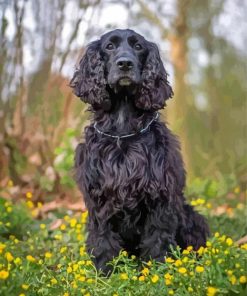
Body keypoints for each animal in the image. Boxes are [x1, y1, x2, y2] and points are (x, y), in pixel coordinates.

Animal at [70, 28, 208, 274]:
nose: (125, 63)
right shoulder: (99, 197)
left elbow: (158, 237)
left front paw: (159, 270)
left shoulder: (160, 196)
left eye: (138, 47)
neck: (122, 127)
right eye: (109, 46)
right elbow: (103, 237)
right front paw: (104, 272)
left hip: (191, 216)